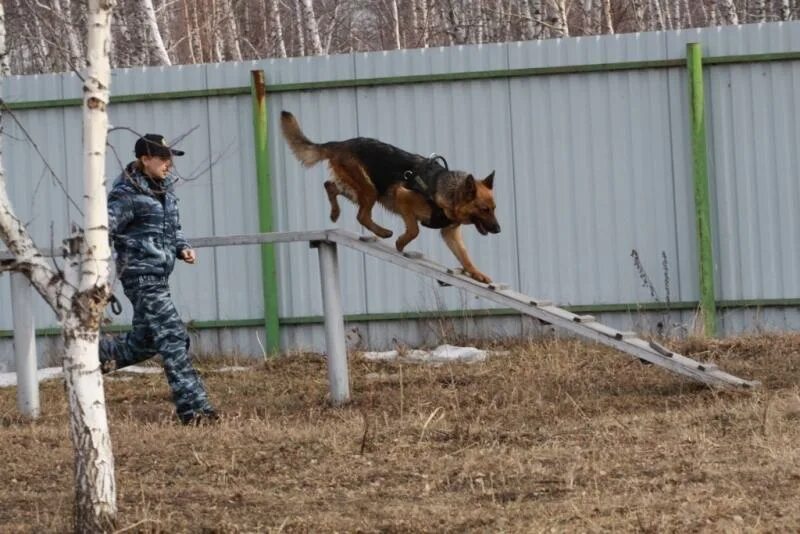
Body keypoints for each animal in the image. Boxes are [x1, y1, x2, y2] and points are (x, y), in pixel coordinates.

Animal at [278, 111, 496, 282]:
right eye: (484, 209)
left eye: (494, 209)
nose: (498, 229)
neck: (446, 192)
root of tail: (341, 143)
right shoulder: (403, 196)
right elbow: (414, 229)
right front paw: (401, 242)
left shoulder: (450, 234)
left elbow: (465, 256)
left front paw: (477, 274)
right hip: (370, 190)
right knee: (362, 215)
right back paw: (383, 233)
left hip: (358, 189)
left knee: (330, 186)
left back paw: (335, 213)